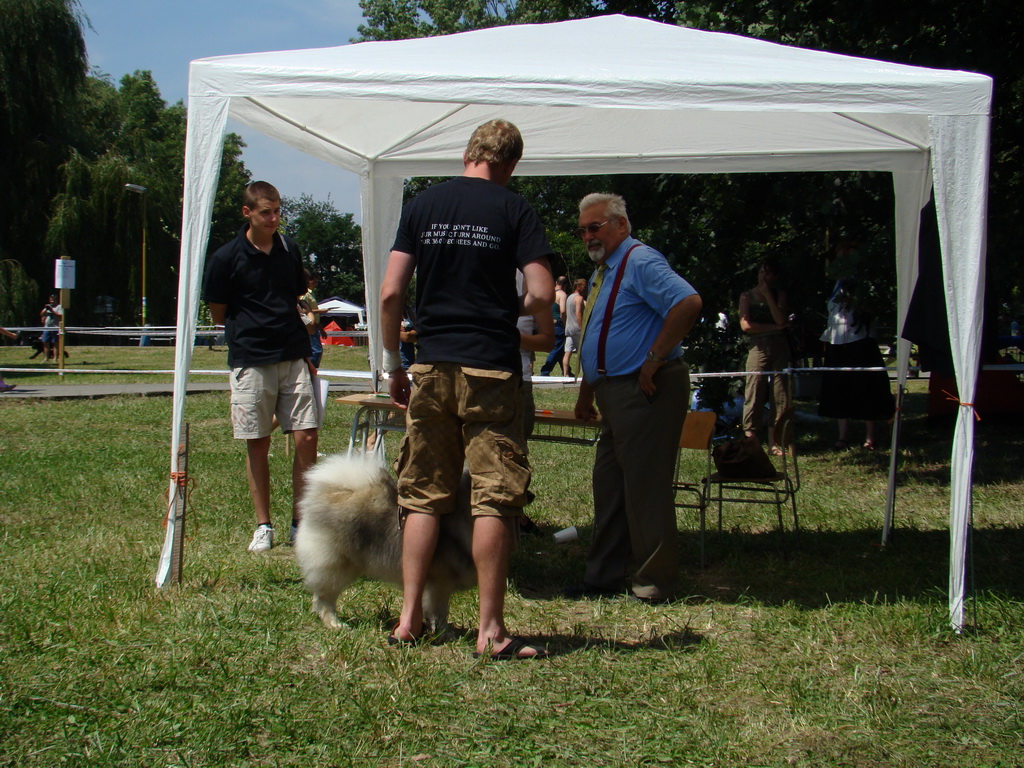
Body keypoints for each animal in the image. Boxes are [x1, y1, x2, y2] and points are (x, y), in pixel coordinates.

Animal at [292, 456, 475, 630]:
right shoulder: (439, 582)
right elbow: (439, 610)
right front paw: (443, 631)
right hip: (336, 568)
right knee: (325, 598)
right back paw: (335, 624)